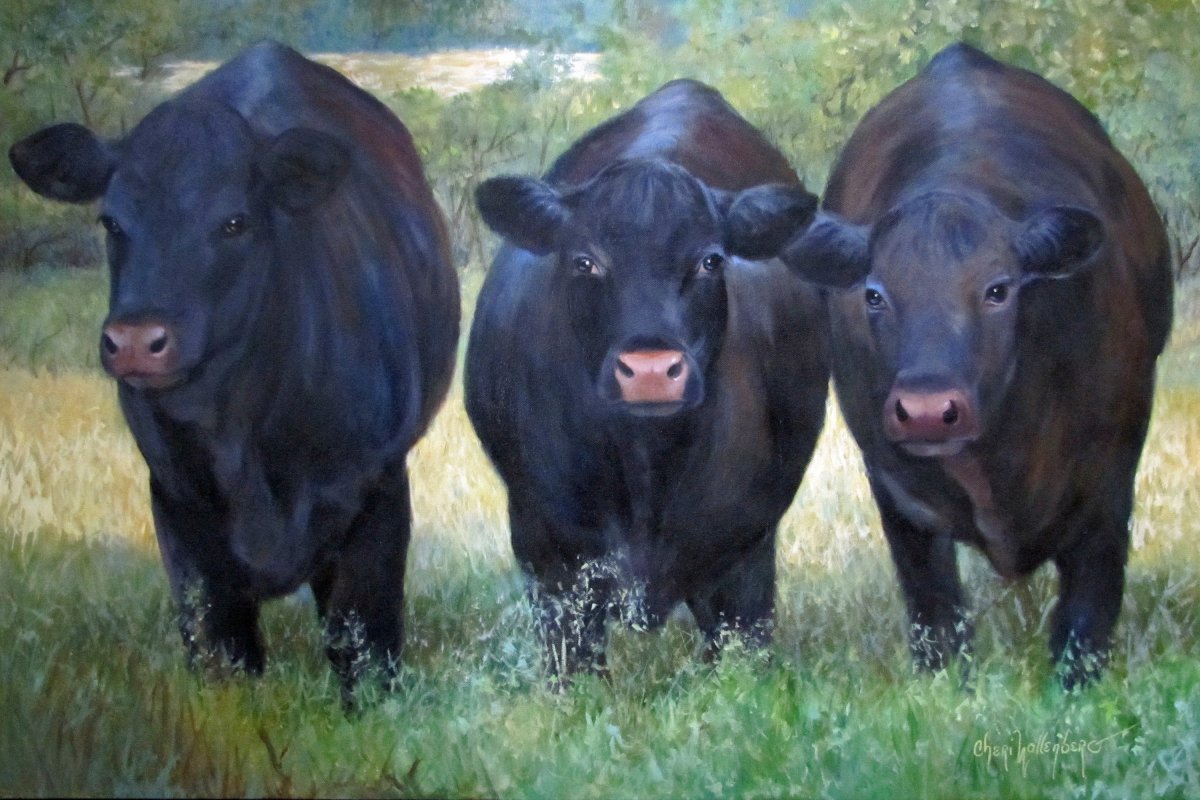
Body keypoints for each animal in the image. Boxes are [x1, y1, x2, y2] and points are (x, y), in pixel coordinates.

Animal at [9, 42, 460, 699]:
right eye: (111, 223)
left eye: (233, 222)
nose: (137, 341)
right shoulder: (176, 500)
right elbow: (218, 644)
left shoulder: (378, 483)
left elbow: (363, 637)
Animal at [466, 79, 830, 679]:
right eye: (585, 261)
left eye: (710, 260)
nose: (652, 371)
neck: (646, 468)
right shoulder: (548, 555)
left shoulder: (746, 556)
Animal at [779, 43, 1173, 687]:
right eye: (875, 294)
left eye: (998, 289)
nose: (926, 410)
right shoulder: (899, 497)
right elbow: (936, 613)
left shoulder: (1110, 483)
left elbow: (1086, 616)